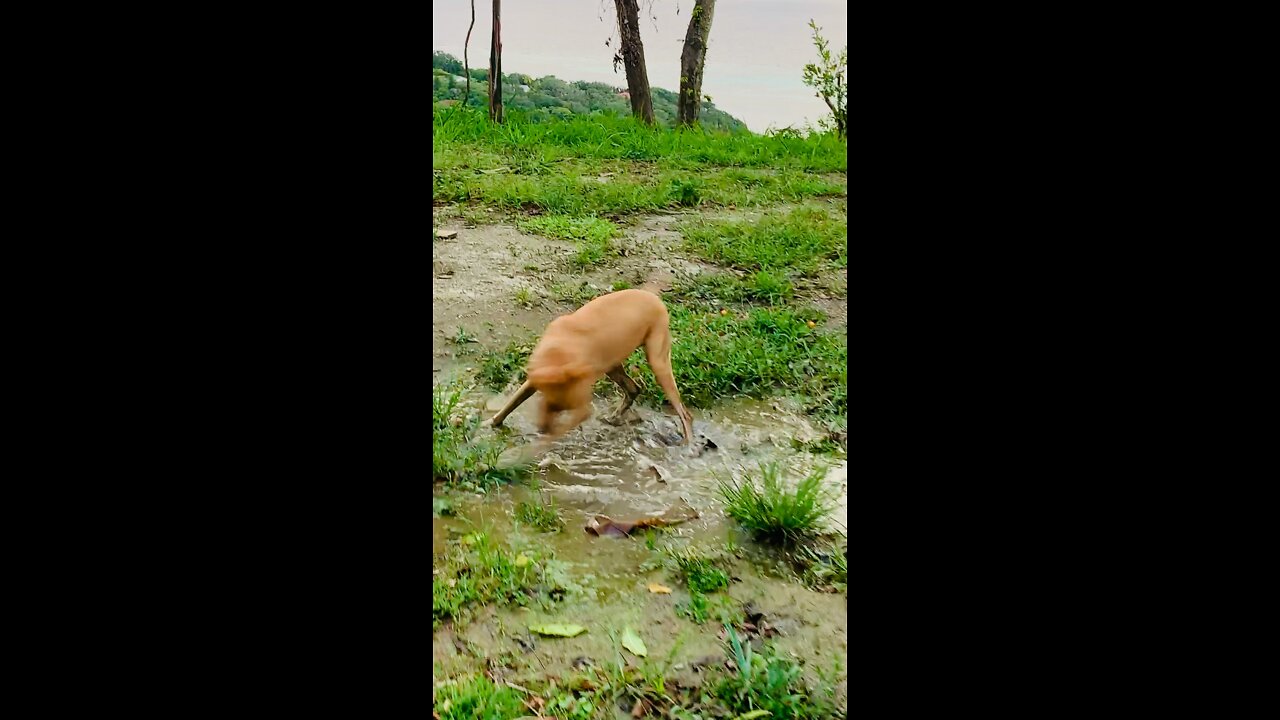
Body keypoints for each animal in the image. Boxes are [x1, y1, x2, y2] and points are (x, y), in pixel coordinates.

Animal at [483, 286, 696, 445]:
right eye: (547, 405)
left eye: (560, 410)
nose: (543, 429)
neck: (560, 352)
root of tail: (654, 297)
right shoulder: (533, 382)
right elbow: (510, 404)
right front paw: (490, 423)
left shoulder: (580, 406)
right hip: (614, 367)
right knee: (634, 388)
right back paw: (615, 417)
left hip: (658, 364)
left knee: (684, 414)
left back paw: (688, 445)